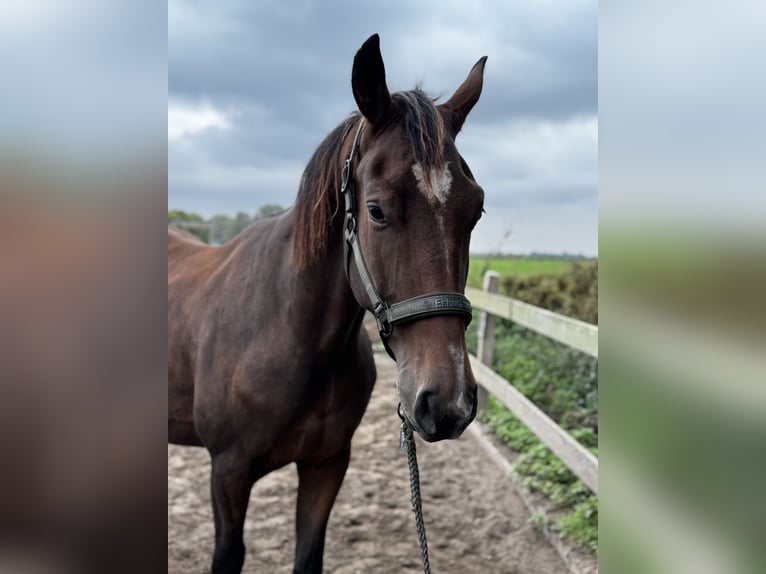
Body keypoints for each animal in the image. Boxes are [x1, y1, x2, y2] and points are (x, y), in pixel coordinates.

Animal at [168, 33, 487, 574]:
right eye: (375, 210)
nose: (448, 403)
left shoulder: (327, 465)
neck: (287, 335)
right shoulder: (227, 475)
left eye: (476, 209)